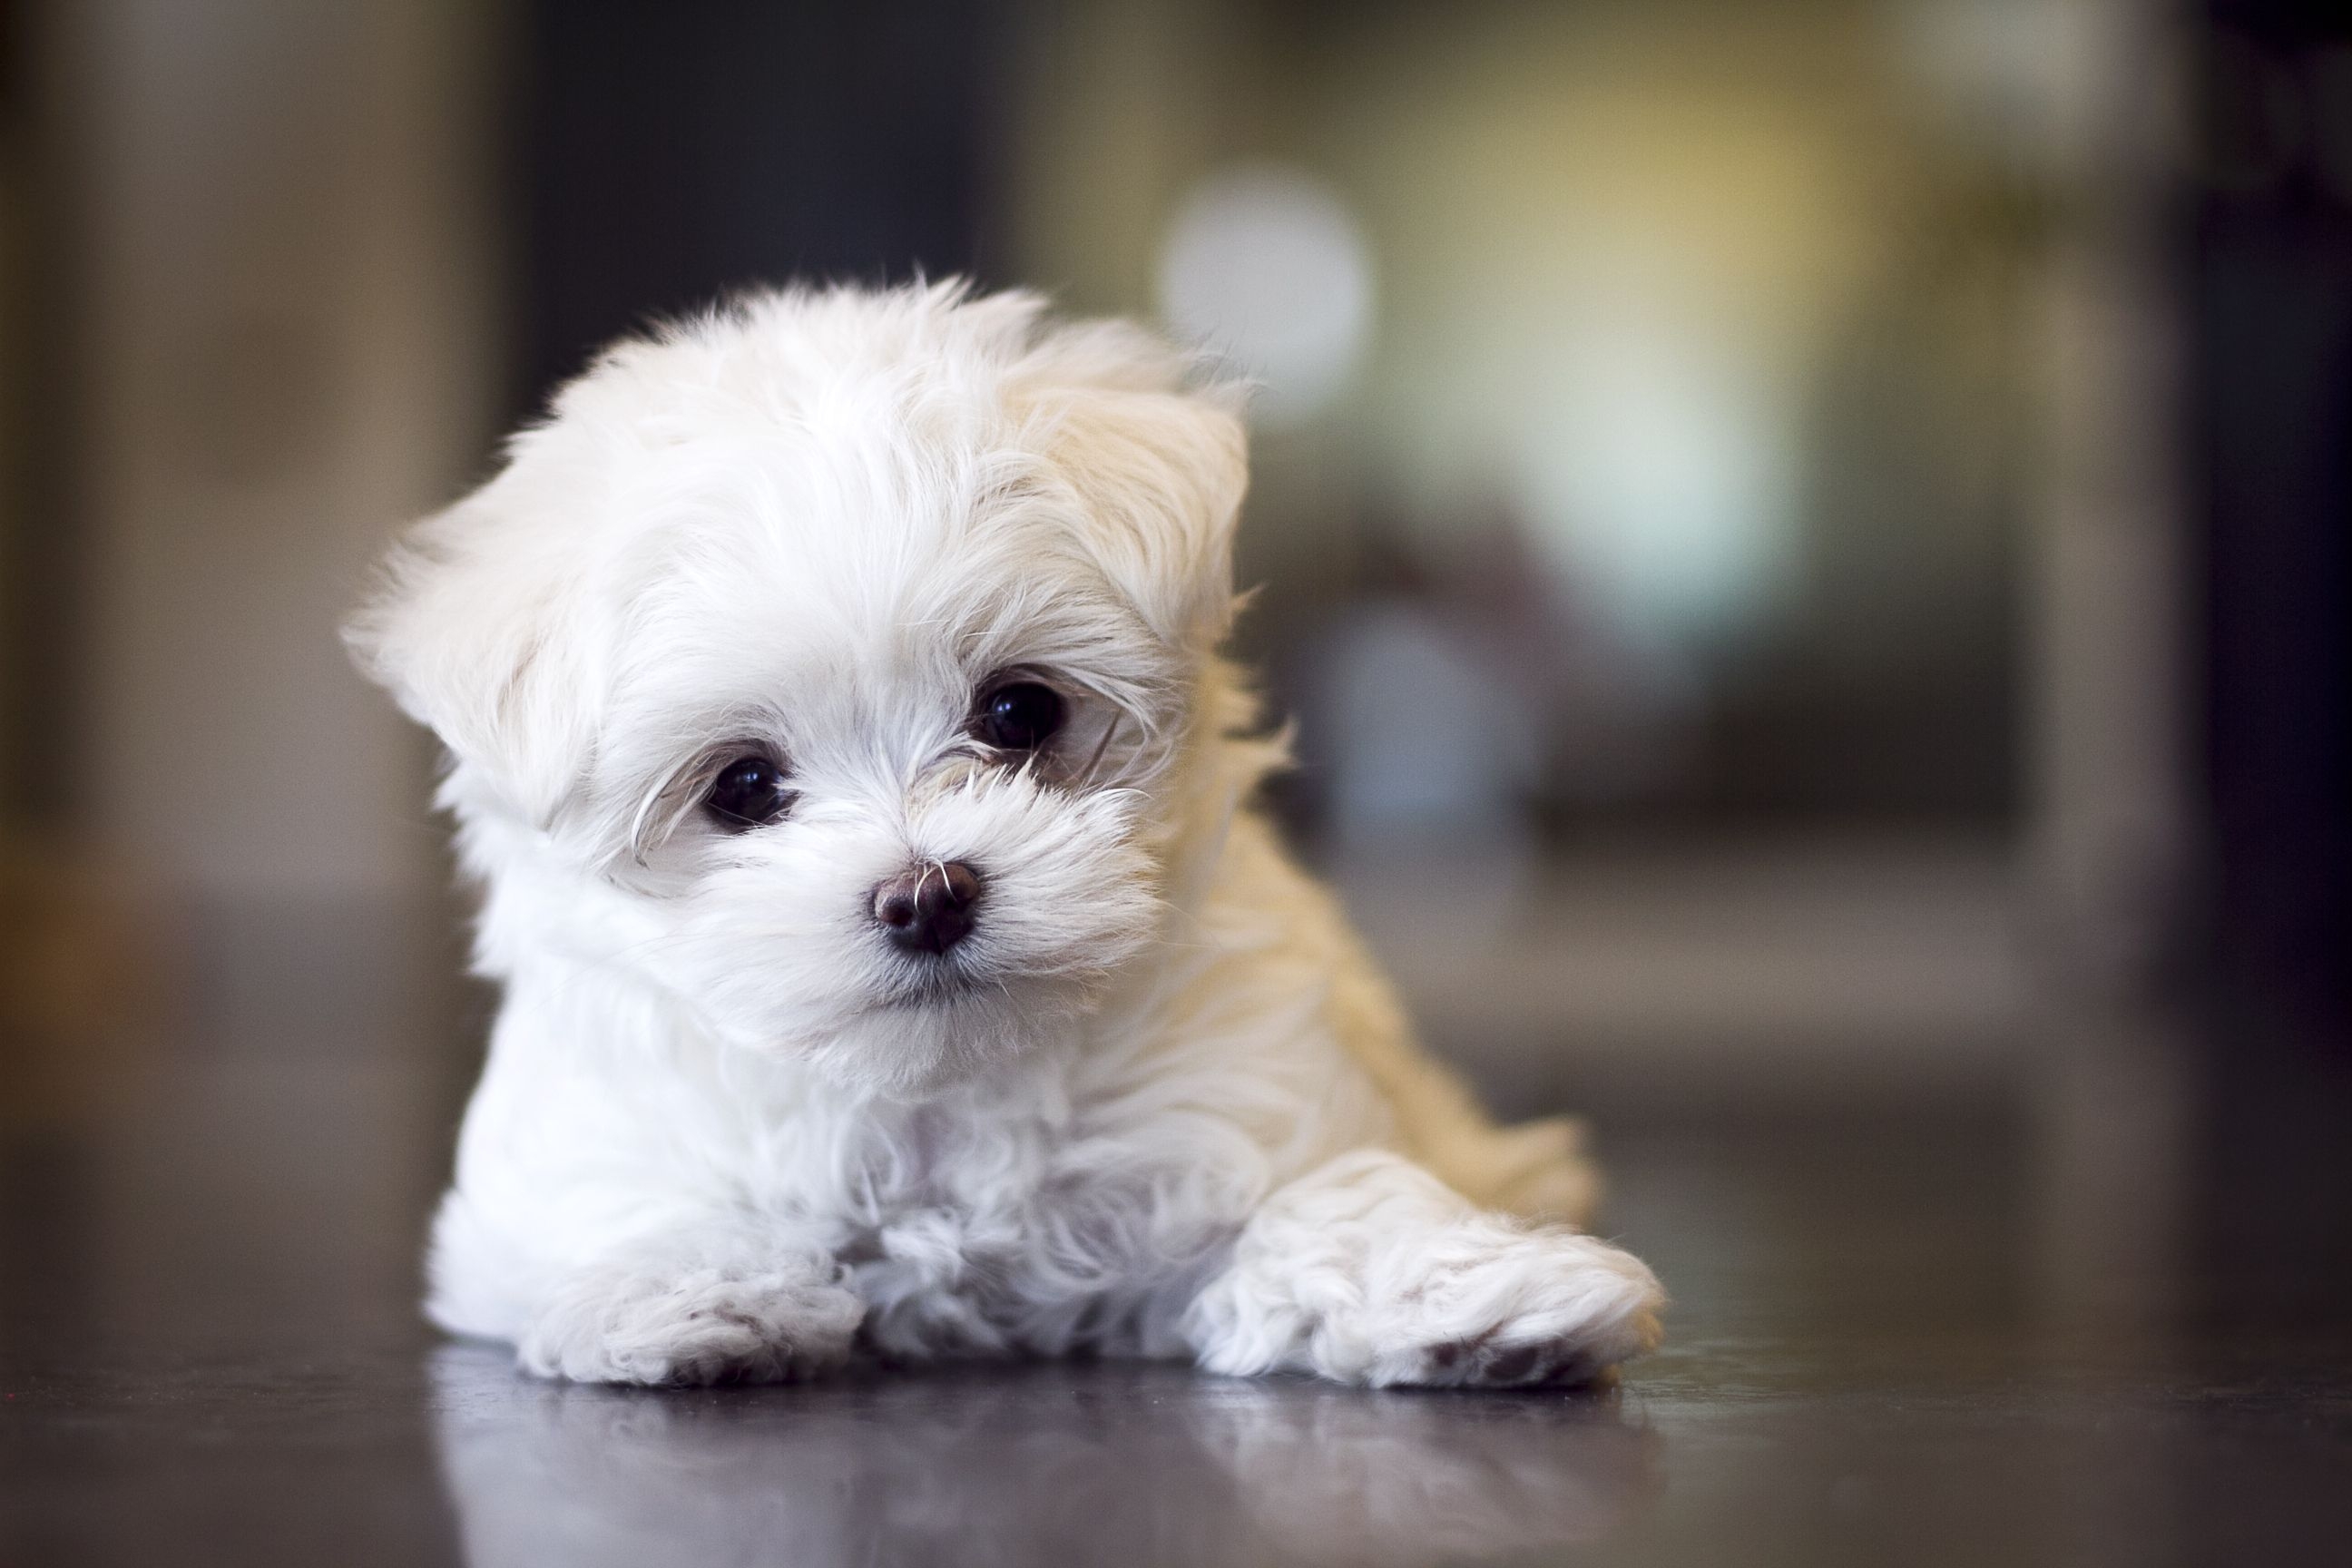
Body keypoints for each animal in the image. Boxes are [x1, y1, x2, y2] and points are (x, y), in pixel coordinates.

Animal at [352, 281, 1674, 1382]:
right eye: (742, 788)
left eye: (1018, 712)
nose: (926, 893)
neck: (945, 1095)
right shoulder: (563, 1170)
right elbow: (633, 1204)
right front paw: (693, 1294)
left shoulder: (1243, 1103)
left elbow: (1329, 1205)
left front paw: (1477, 1300)